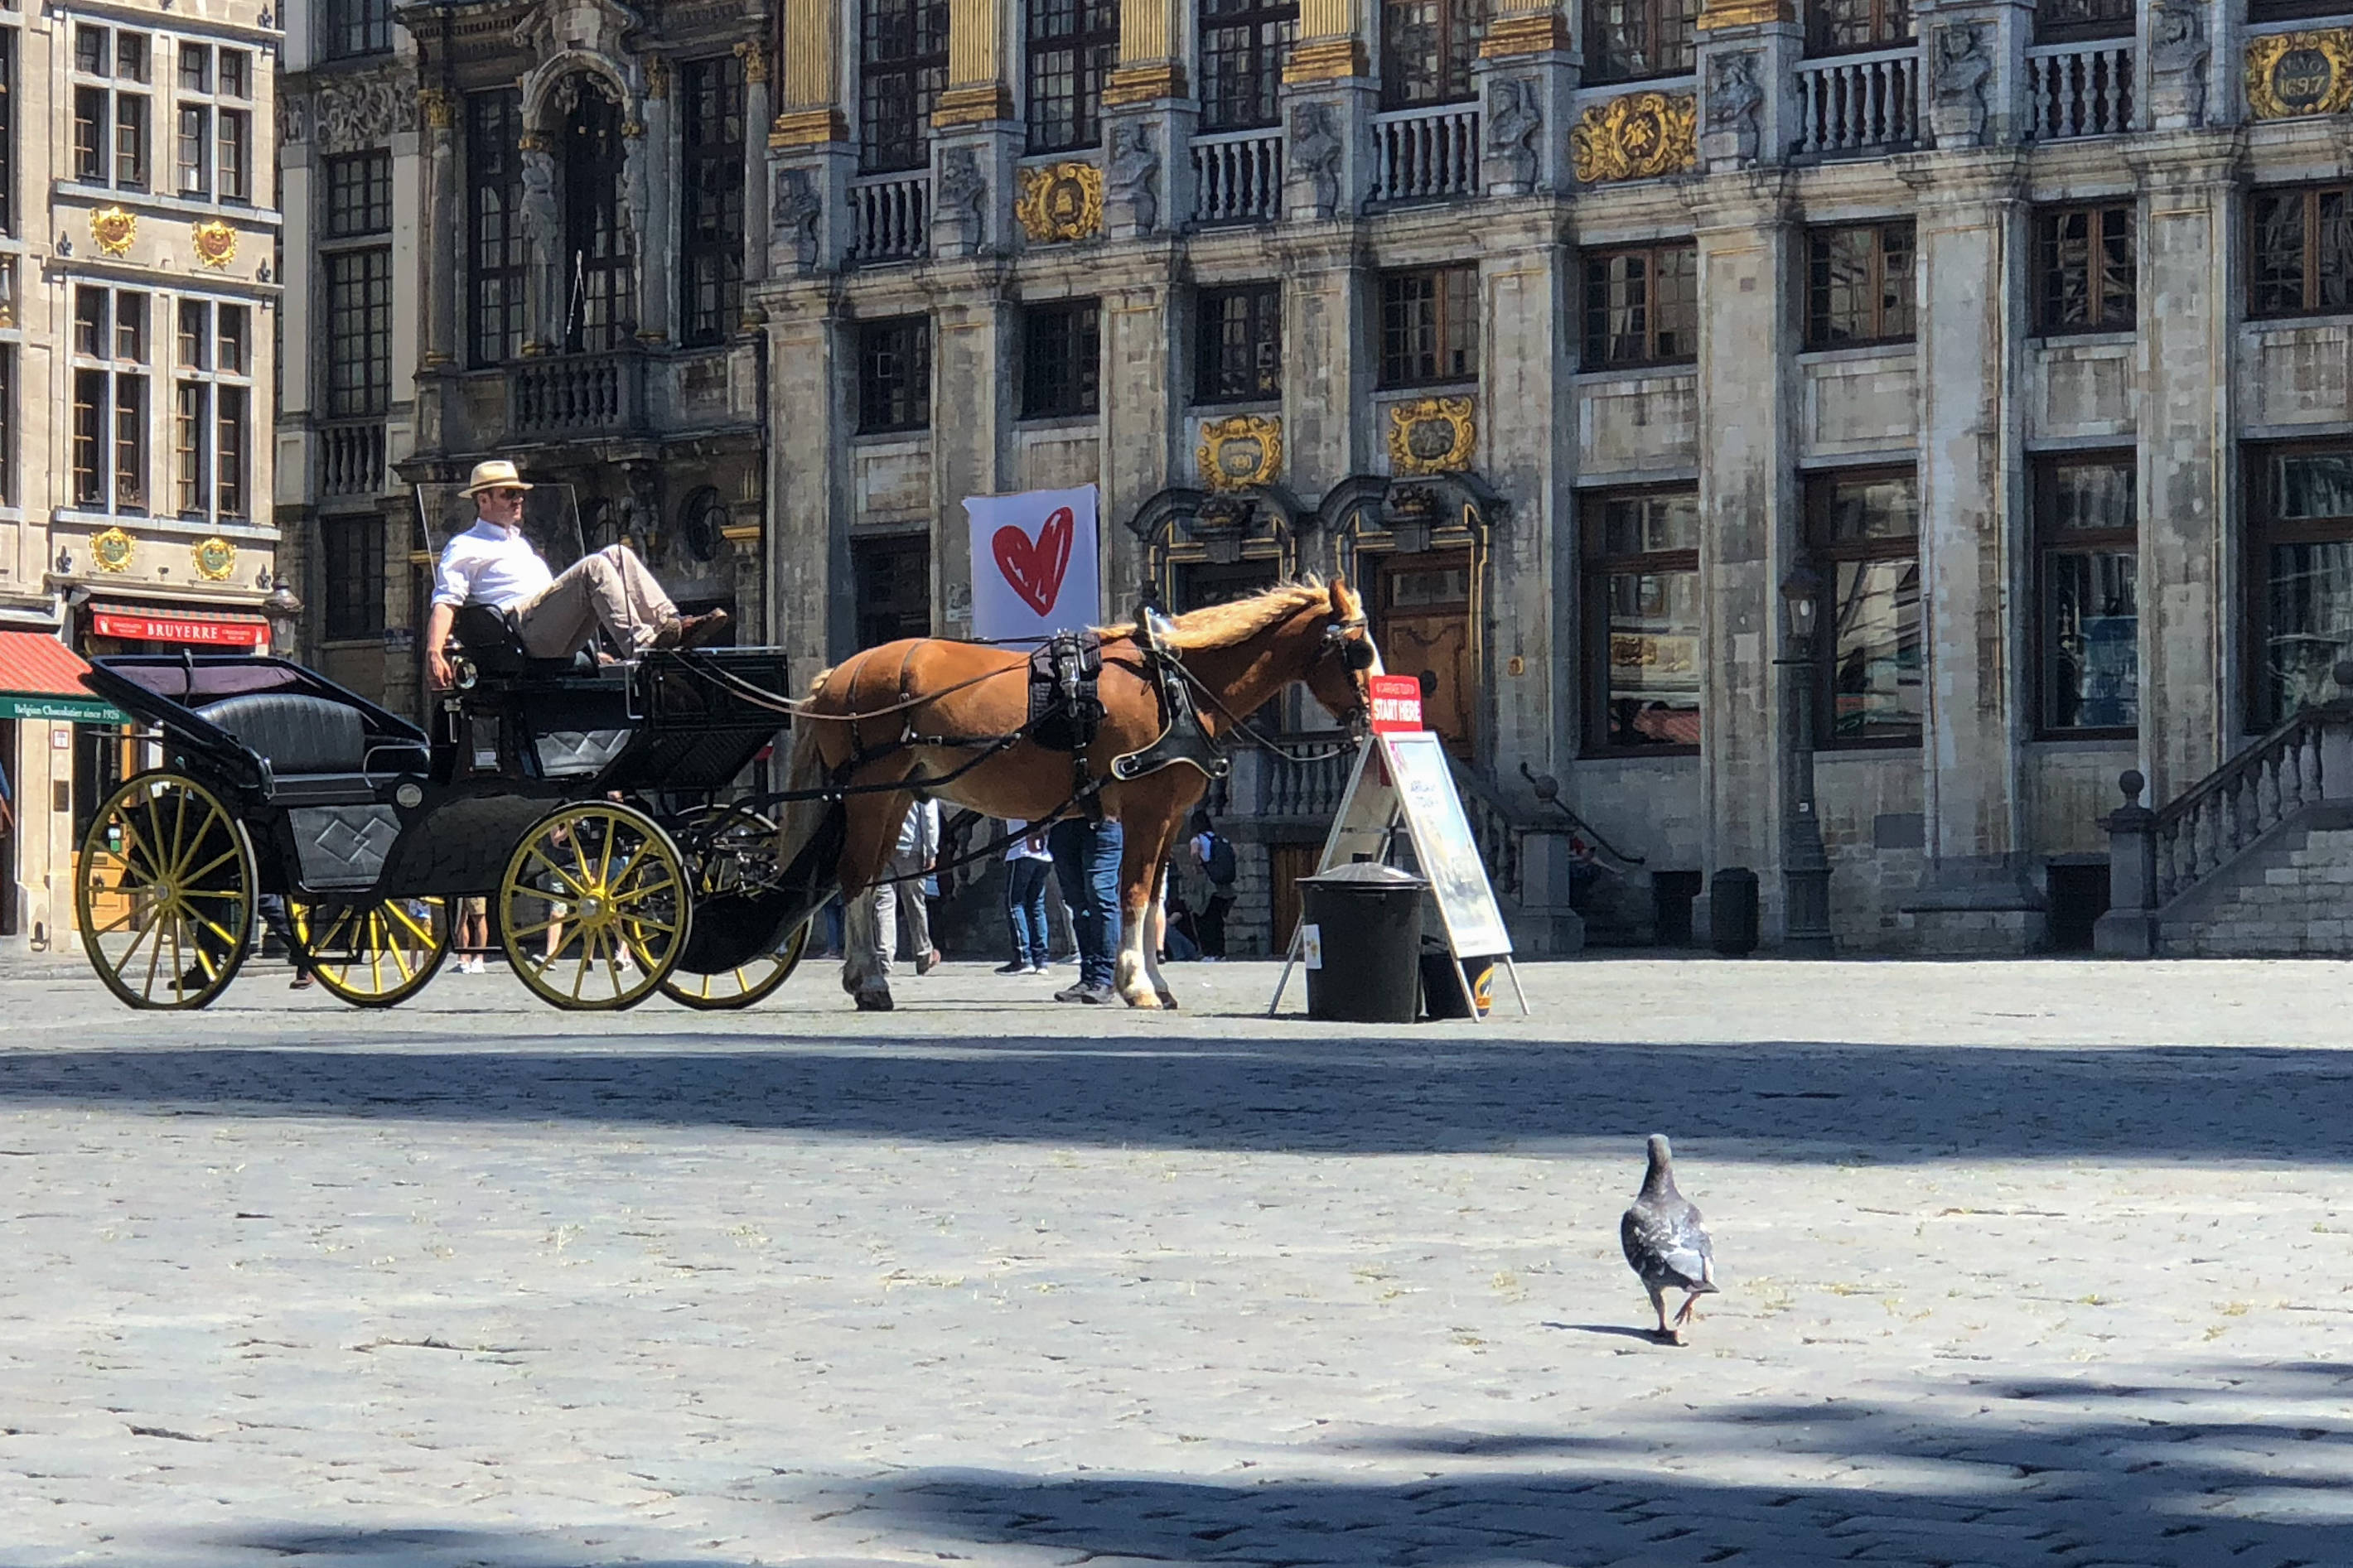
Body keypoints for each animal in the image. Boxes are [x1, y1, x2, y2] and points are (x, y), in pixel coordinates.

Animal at [780, 582, 1383, 1011]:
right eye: (1358, 650)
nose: (1374, 717)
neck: (1175, 686)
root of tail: (841, 673)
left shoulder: (1170, 817)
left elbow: (1154, 899)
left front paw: (1155, 982)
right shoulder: (1144, 811)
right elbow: (1134, 894)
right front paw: (1137, 984)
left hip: (894, 797)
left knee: (866, 878)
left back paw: (863, 976)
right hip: (870, 796)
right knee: (855, 879)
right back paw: (872, 982)